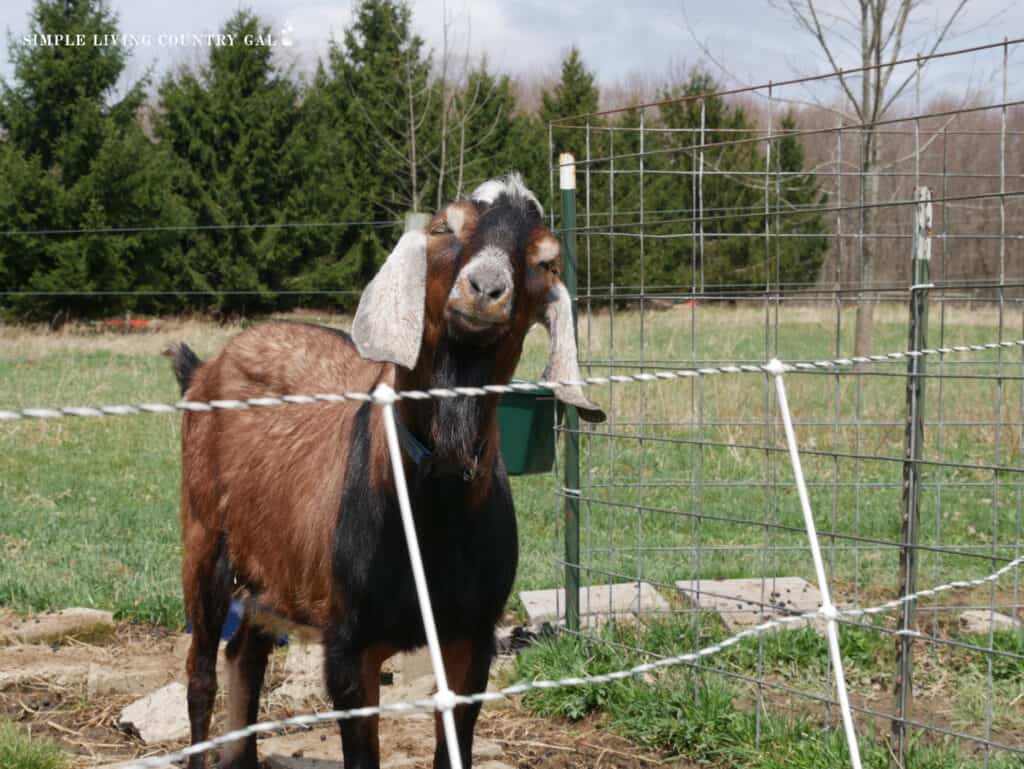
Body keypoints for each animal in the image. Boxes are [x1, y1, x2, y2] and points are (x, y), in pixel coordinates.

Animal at [166, 174, 598, 769]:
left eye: (545, 260)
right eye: (443, 228)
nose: (485, 288)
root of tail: (207, 366)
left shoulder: (472, 639)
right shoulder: (350, 648)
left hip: (270, 568)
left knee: (245, 656)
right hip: (204, 536)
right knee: (201, 673)